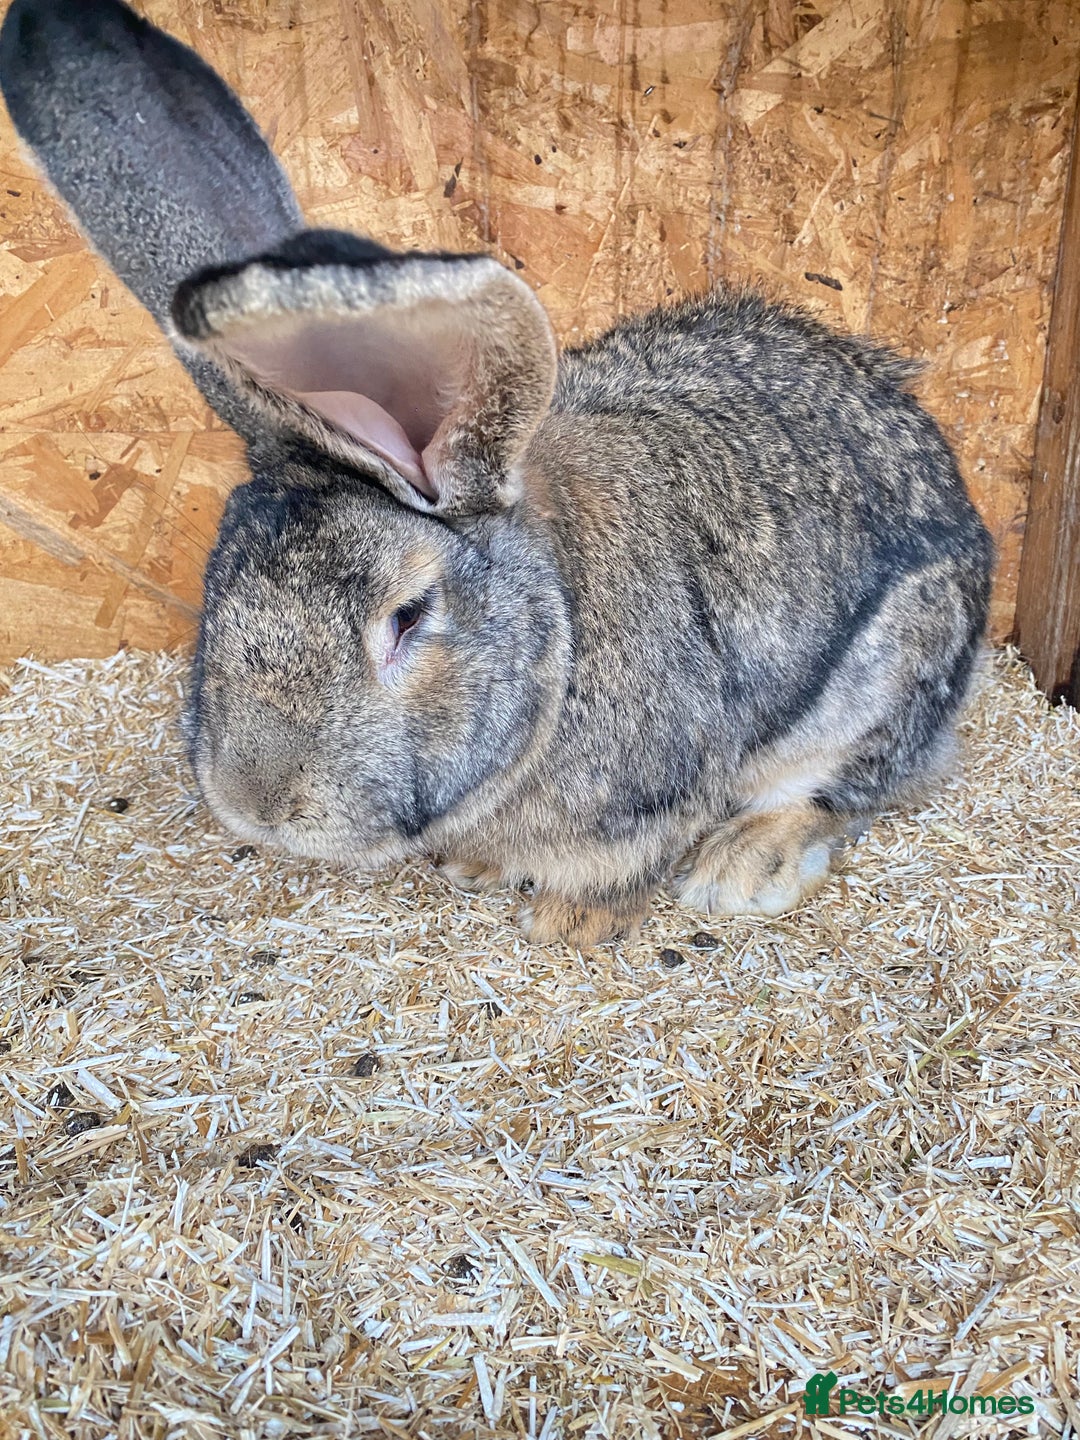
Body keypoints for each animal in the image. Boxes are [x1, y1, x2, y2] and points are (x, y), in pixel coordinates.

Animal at [0, 0, 993, 947]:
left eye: (408, 617)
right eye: (216, 587)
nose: (258, 803)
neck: (558, 634)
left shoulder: (657, 790)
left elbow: (630, 862)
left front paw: (575, 922)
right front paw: (476, 867)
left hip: (891, 674)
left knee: (846, 787)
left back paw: (742, 868)